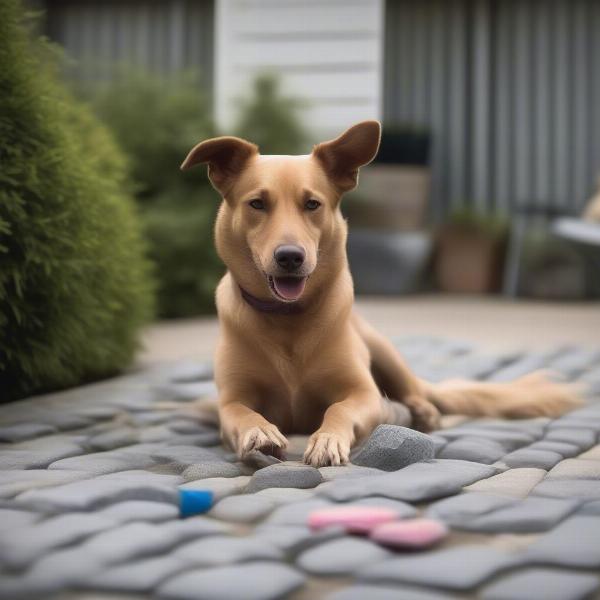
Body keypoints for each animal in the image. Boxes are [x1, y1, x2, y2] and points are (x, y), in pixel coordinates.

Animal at [180, 120, 580, 468]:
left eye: (312, 204)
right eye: (257, 204)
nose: (290, 257)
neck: (286, 319)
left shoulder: (362, 393)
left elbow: (339, 408)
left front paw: (327, 440)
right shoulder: (231, 399)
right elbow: (241, 413)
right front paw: (260, 432)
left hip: (384, 350)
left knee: (415, 391)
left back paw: (423, 412)